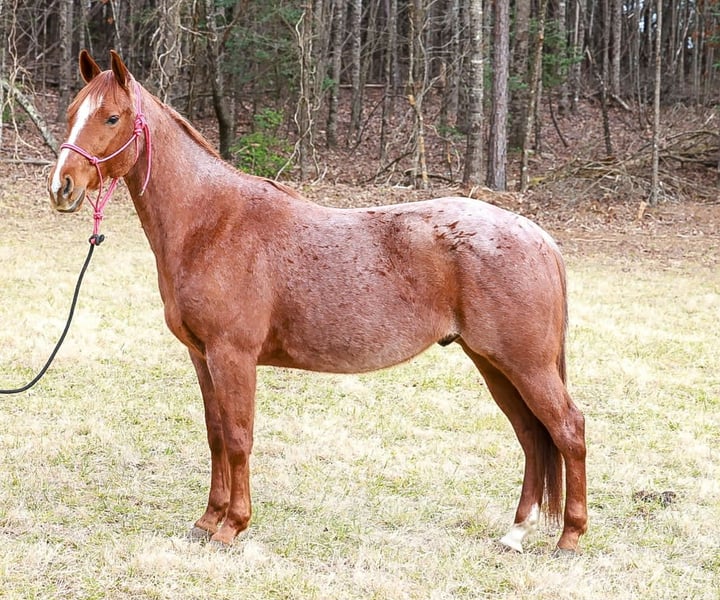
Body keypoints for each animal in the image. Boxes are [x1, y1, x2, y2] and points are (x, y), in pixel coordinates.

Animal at [48, 50, 587, 554]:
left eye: (111, 117)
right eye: (73, 111)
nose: (61, 187)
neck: (212, 223)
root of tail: (539, 236)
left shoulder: (232, 355)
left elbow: (239, 438)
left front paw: (232, 527)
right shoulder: (202, 356)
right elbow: (216, 435)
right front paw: (207, 521)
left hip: (525, 365)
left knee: (567, 429)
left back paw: (570, 537)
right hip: (494, 363)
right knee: (532, 436)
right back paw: (516, 532)